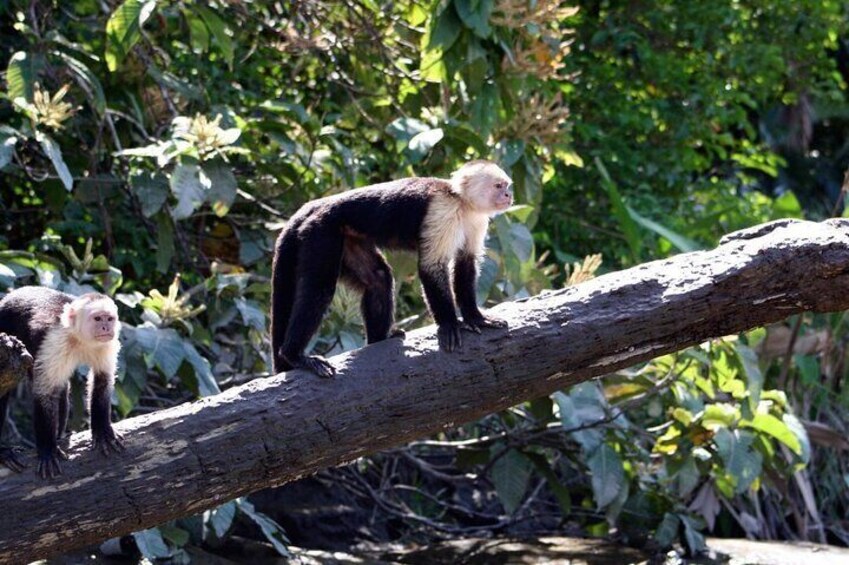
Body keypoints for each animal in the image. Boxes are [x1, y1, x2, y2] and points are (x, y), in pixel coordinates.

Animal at [0, 286, 123, 476]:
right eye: (97, 318)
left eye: (110, 319)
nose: (106, 327)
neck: (78, 337)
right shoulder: (54, 341)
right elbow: (45, 393)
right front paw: (47, 450)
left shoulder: (107, 343)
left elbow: (103, 380)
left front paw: (102, 430)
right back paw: (3, 453)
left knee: (63, 391)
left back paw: (59, 436)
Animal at [272, 161, 512, 376]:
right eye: (498, 186)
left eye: (506, 185)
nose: (509, 195)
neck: (462, 202)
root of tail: (312, 206)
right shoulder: (442, 210)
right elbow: (431, 267)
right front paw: (449, 324)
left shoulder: (477, 220)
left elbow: (466, 264)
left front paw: (476, 317)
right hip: (320, 231)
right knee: (319, 289)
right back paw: (295, 355)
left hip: (348, 237)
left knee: (379, 278)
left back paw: (379, 339)